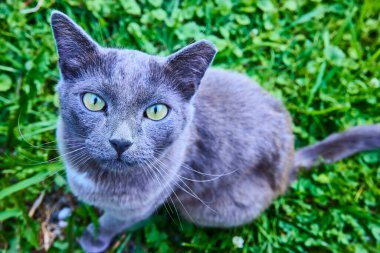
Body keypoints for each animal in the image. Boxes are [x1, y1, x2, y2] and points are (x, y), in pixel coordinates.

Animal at [51, 10, 380, 252]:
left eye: (156, 111)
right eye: (94, 101)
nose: (121, 141)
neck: (97, 176)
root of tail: (288, 163)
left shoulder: (138, 206)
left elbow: (112, 222)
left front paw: (92, 238)